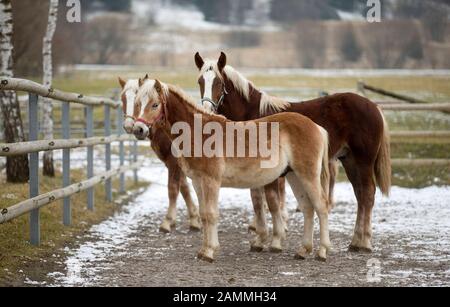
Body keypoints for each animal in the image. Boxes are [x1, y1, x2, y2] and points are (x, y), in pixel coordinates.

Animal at [118, 77, 200, 233]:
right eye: (123, 98)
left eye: (136, 100)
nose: (131, 126)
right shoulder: (173, 163)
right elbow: (184, 188)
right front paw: (194, 219)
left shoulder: (174, 161)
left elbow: (173, 188)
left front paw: (167, 222)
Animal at [130, 80, 330, 264]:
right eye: (138, 103)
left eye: (155, 104)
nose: (138, 129)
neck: (199, 133)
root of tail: (316, 127)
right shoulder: (198, 182)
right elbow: (204, 214)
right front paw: (203, 250)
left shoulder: (211, 181)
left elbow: (211, 214)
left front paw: (210, 252)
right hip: (294, 176)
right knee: (308, 208)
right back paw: (303, 250)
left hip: (308, 175)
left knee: (321, 207)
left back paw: (322, 251)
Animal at [195, 51, 392, 254]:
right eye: (200, 81)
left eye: (218, 82)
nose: (207, 110)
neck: (253, 115)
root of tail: (374, 106)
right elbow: (257, 201)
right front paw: (259, 240)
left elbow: (272, 202)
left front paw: (275, 241)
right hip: (349, 160)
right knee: (360, 194)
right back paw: (356, 241)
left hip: (363, 162)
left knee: (367, 194)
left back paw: (365, 242)